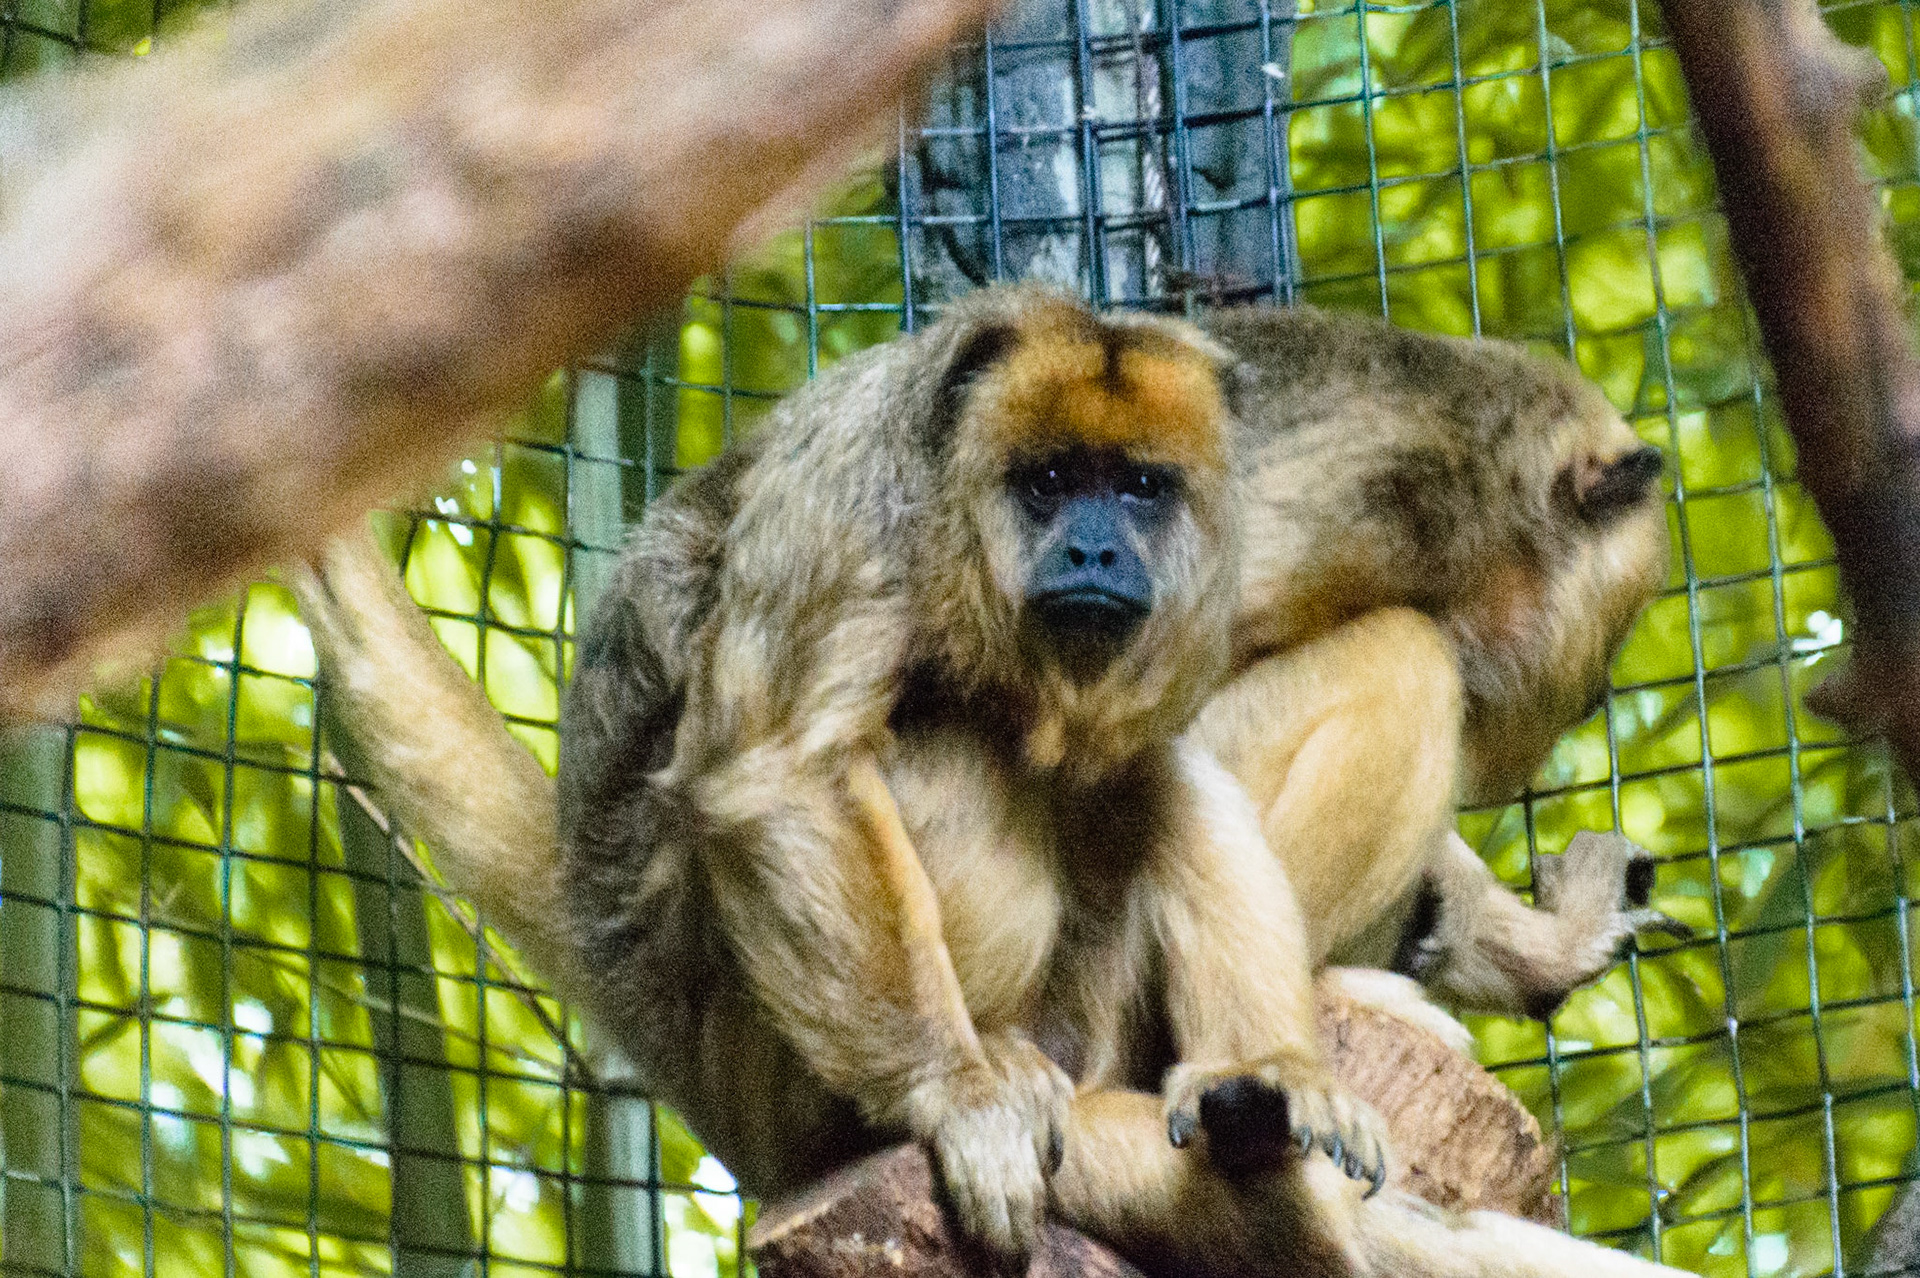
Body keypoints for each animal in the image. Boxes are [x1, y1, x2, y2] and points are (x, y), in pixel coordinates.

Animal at [297, 285, 1697, 1278]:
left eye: (1134, 488)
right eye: (1592, 668)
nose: (1549, 722)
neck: (1444, 477)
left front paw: (1515, 945)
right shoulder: (1307, 498)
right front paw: (959, 1094)